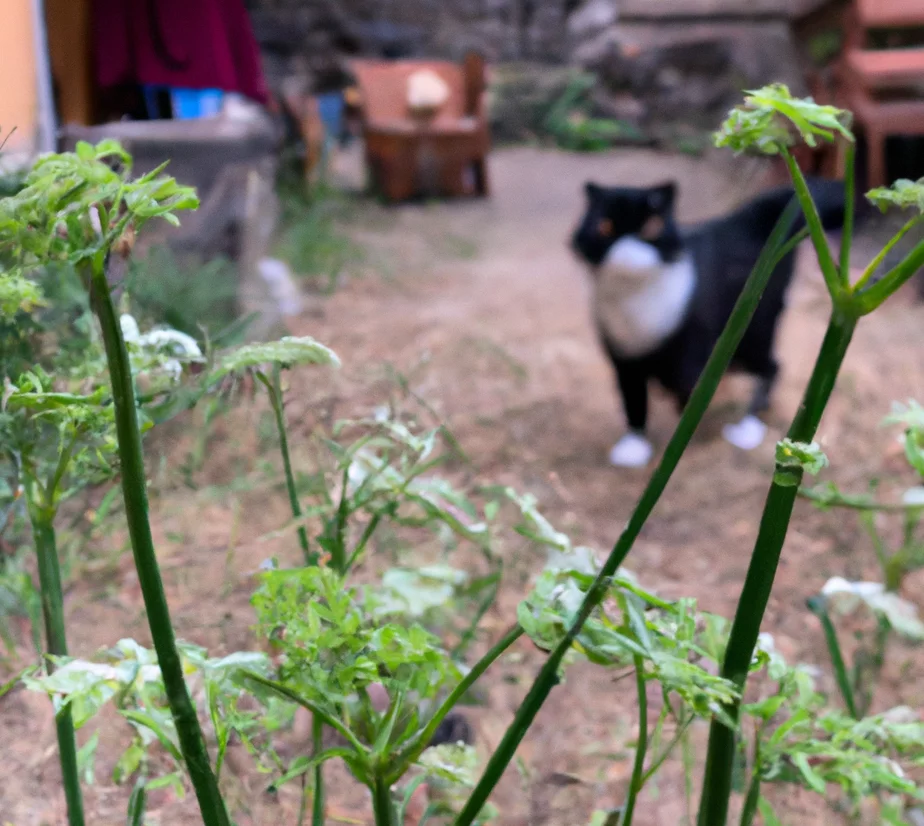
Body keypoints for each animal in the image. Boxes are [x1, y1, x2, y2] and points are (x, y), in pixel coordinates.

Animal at [572, 177, 848, 466]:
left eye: (652, 227)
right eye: (604, 227)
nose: (627, 255)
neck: (636, 308)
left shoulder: (695, 338)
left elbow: (685, 382)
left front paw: (686, 421)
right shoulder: (623, 359)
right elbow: (633, 399)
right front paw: (634, 446)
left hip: (754, 329)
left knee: (771, 366)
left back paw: (748, 427)